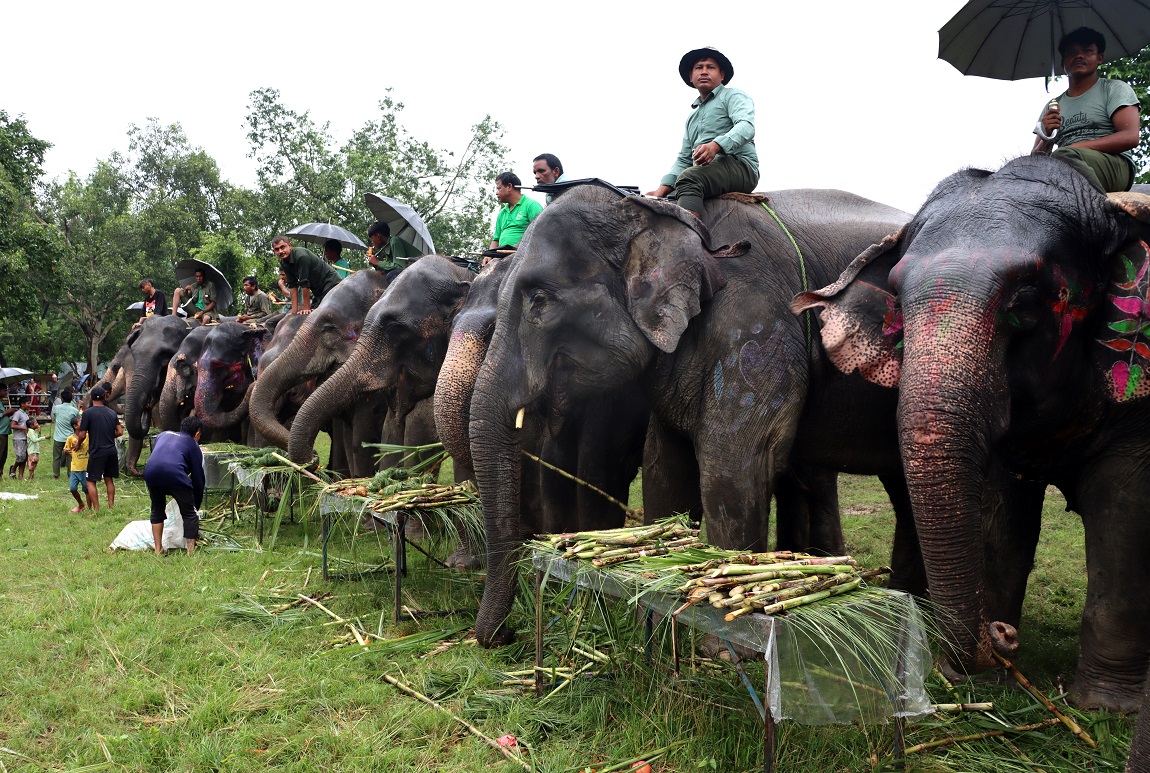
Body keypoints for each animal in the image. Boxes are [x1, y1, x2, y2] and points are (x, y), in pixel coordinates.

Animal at [466, 184, 915, 644]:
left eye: (539, 300)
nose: (502, 637)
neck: (658, 214)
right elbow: (665, 468)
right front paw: (656, 614)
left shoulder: (755, 326)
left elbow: (733, 467)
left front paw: (719, 641)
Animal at [795, 155, 1150, 713]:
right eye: (898, 301)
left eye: (1025, 303)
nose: (1002, 633)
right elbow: (1003, 515)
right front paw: (984, 684)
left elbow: (1123, 508)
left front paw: (1104, 708)